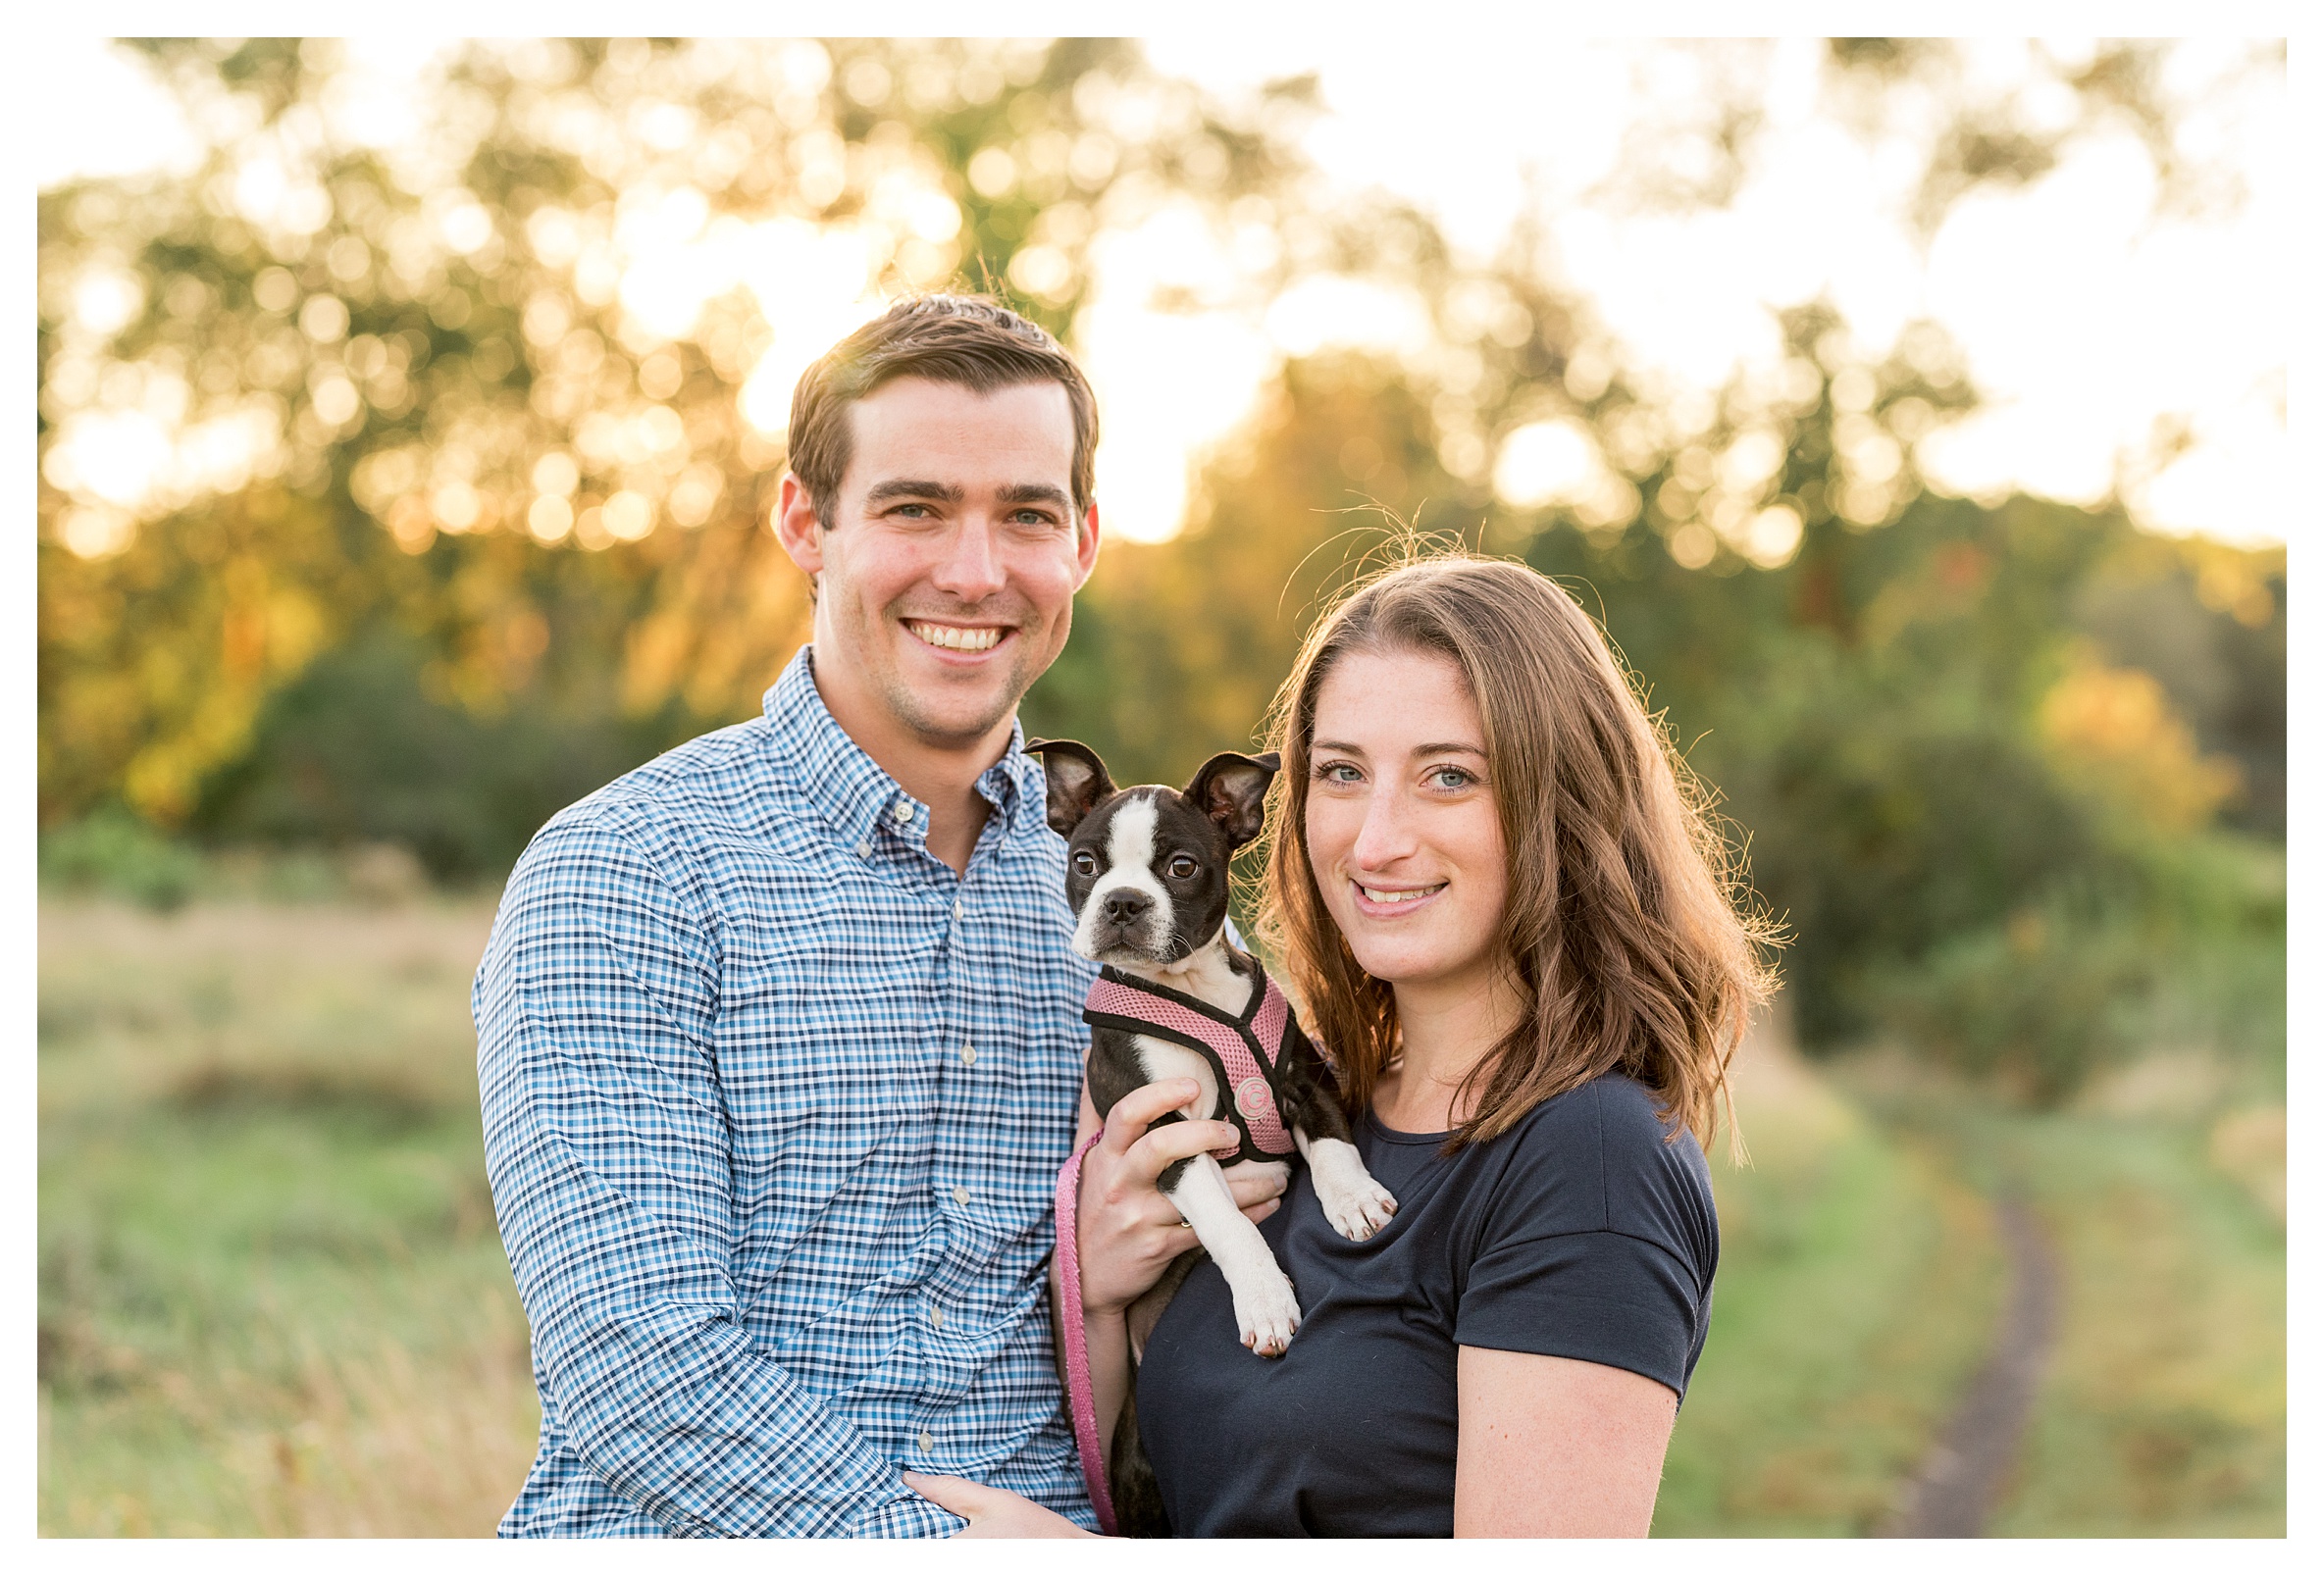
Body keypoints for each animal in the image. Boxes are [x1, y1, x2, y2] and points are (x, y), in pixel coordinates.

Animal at [1036, 743, 1394, 1543]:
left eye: (1181, 866)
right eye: (1083, 862)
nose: (1123, 902)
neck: (1191, 989)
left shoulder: (1301, 1078)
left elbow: (1334, 1145)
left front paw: (1354, 1199)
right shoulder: (1165, 1132)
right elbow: (1230, 1224)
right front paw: (1264, 1300)